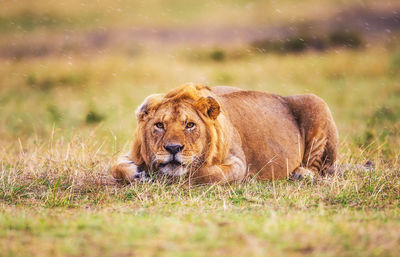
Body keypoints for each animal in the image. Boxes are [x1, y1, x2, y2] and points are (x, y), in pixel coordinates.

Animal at [110, 83, 338, 182]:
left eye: (190, 125)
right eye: (159, 125)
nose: (173, 148)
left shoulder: (239, 164)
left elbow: (204, 172)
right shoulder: (132, 154)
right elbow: (115, 166)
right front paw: (137, 173)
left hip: (315, 101)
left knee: (319, 166)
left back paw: (302, 173)